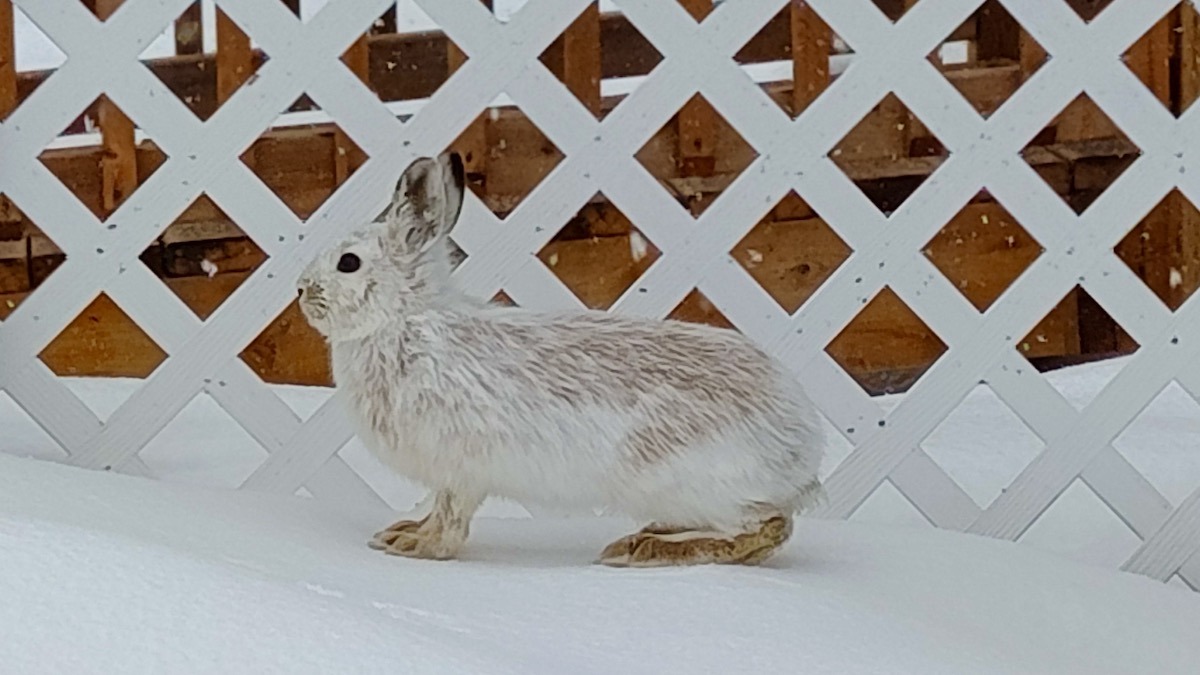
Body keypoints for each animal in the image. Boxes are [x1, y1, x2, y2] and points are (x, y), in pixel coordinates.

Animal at [296, 152, 826, 567]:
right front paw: (401, 530)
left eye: (348, 263)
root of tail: (802, 451)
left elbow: (450, 521)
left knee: (770, 526)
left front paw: (414, 546)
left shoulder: (461, 469)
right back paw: (656, 534)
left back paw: (646, 549)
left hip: (696, 483)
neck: (404, 318)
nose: (301, 291)